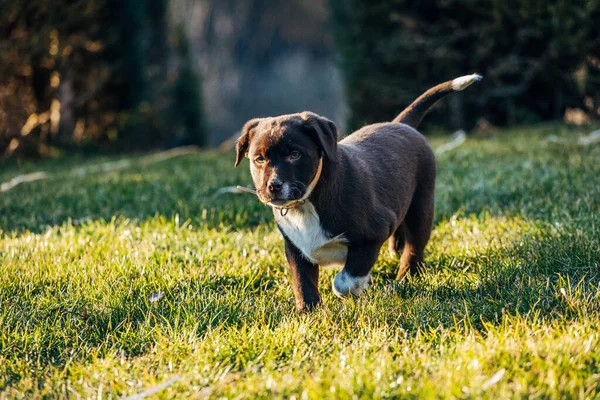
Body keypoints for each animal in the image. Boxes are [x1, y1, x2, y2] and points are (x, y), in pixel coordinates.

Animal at [234, 73, 482, 310]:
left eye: (295, 155)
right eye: (259, 159)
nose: (273, 186)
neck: (309, 201)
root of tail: (400, 124)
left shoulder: (374, 233)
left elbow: (344, 280)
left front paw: (357, 288)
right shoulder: (295, 248)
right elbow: (302, 282)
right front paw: (308, 312)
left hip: (421, 204)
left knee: (415, 246)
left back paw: (406, 278)